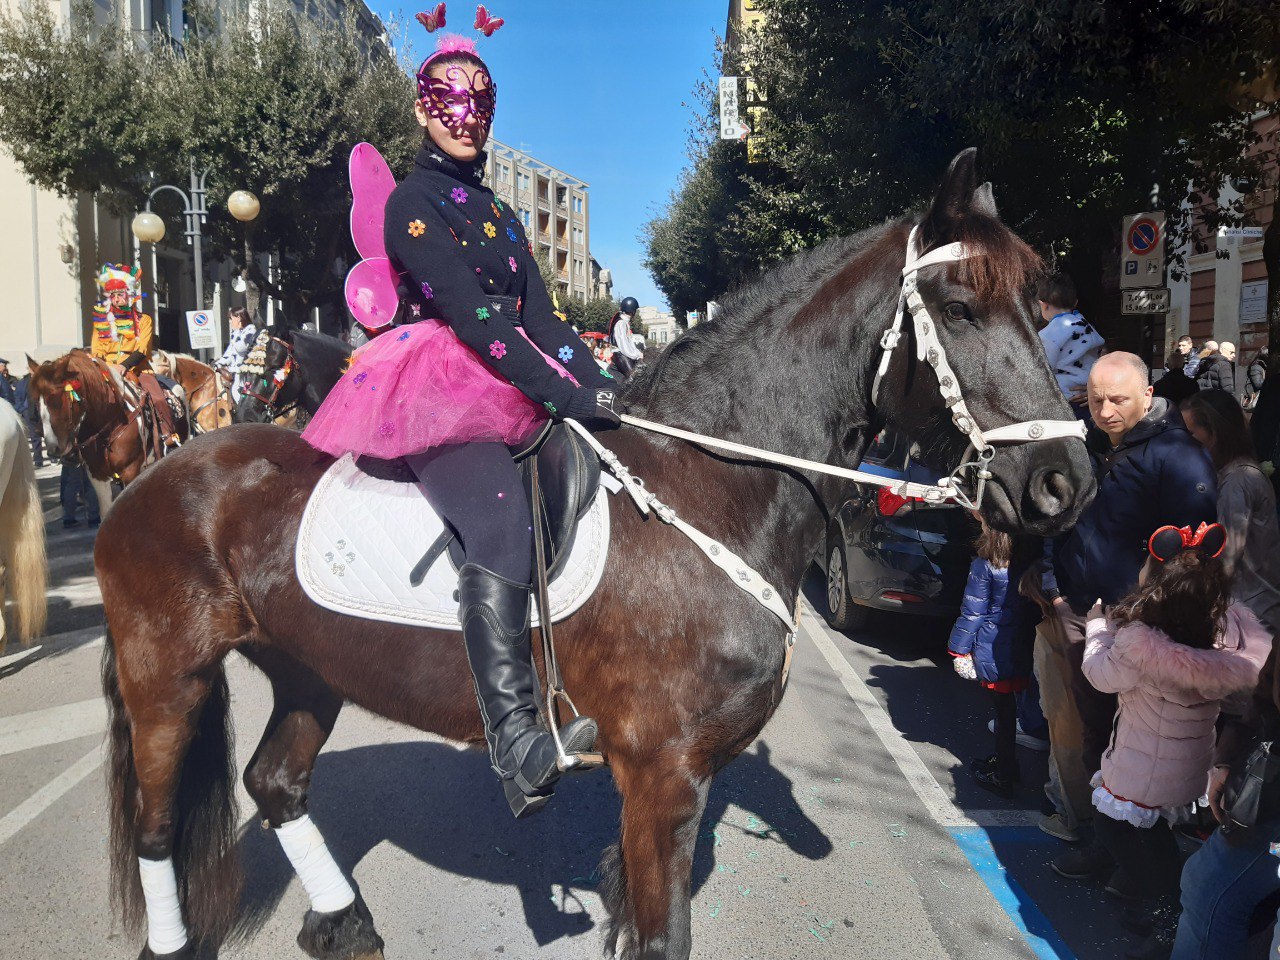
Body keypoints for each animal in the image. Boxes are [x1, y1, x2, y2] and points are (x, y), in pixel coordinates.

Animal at [92, 150, 1090, 960]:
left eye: (1038, 306)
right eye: (959, 307)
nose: (1064, 480)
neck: (706, 486)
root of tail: (155, 476)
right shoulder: (662, 777)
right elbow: (660, 937)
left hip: (308, 667)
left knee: (275, 783)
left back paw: (345, 923)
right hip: (167, 673)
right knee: (154, 827)